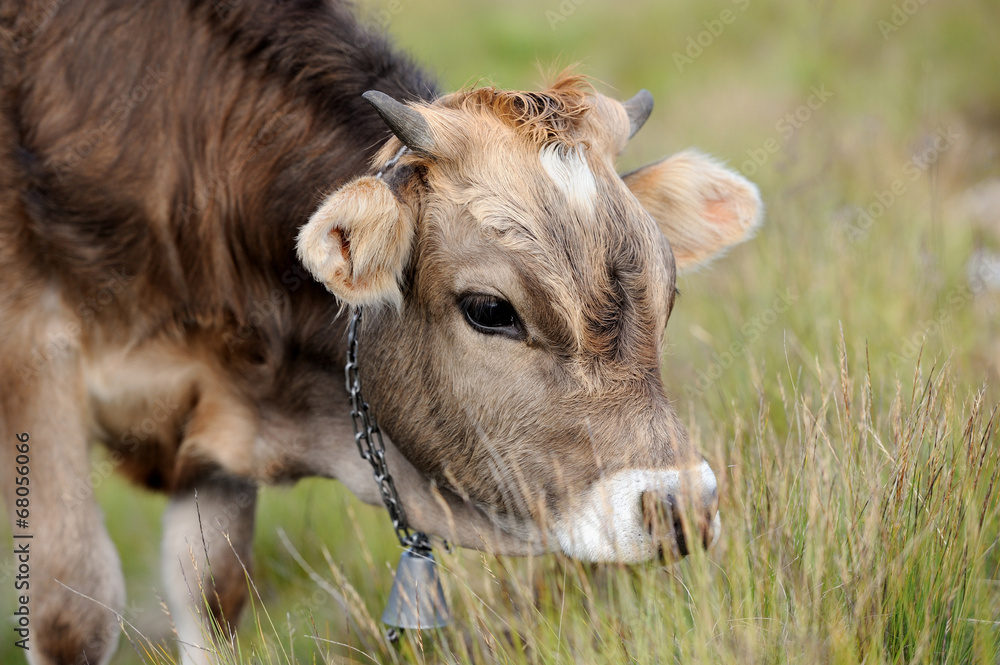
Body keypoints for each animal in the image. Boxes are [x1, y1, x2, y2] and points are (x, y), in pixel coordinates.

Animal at [0, 1, 760, 664]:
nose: (682, 506)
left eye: (668, 293)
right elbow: (73, 614)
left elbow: (212, 593)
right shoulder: (35, 361)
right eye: (490, 308)